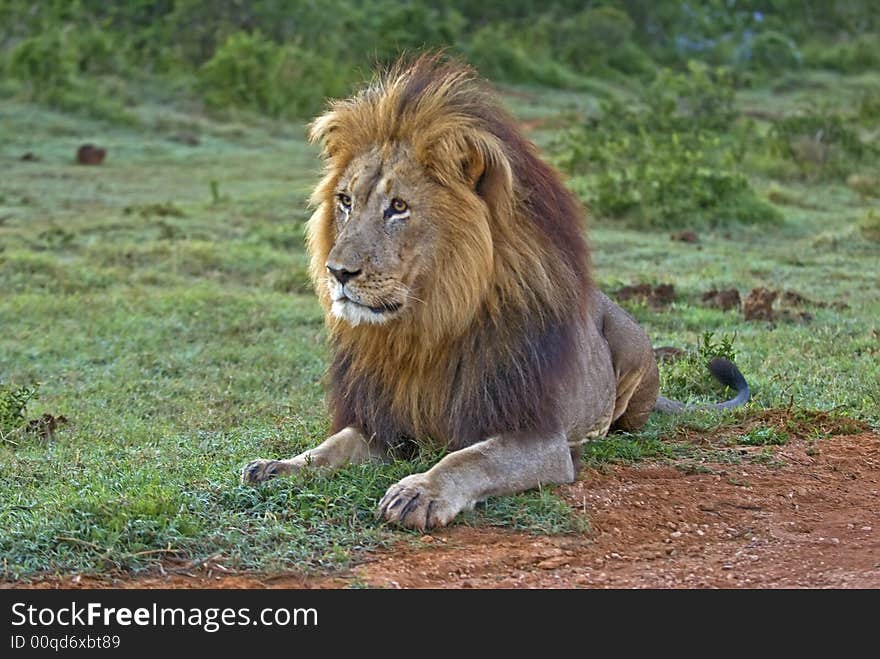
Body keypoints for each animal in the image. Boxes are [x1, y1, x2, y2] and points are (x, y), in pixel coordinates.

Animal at [241, 55, 748, 532]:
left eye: (398, 207)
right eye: (345, 201)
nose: (338, 272)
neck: (427, 329)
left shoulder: (538, 437)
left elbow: (471, 458)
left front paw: (419, 492)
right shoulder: (384, 425)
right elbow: (330, 448)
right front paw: (278, 466)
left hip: (630, 349)